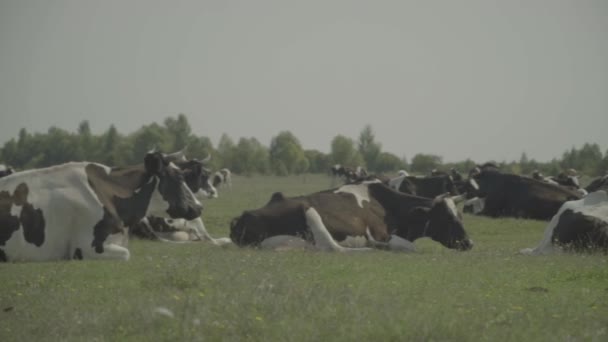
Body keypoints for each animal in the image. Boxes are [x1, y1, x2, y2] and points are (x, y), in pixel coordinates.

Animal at [230, 180, 472, 252]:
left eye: (460, 215)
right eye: (447, 218)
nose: (469, 243)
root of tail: (242, 215)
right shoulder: (381, 235)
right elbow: (412, 248)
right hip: (308, 209)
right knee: (332, 248)